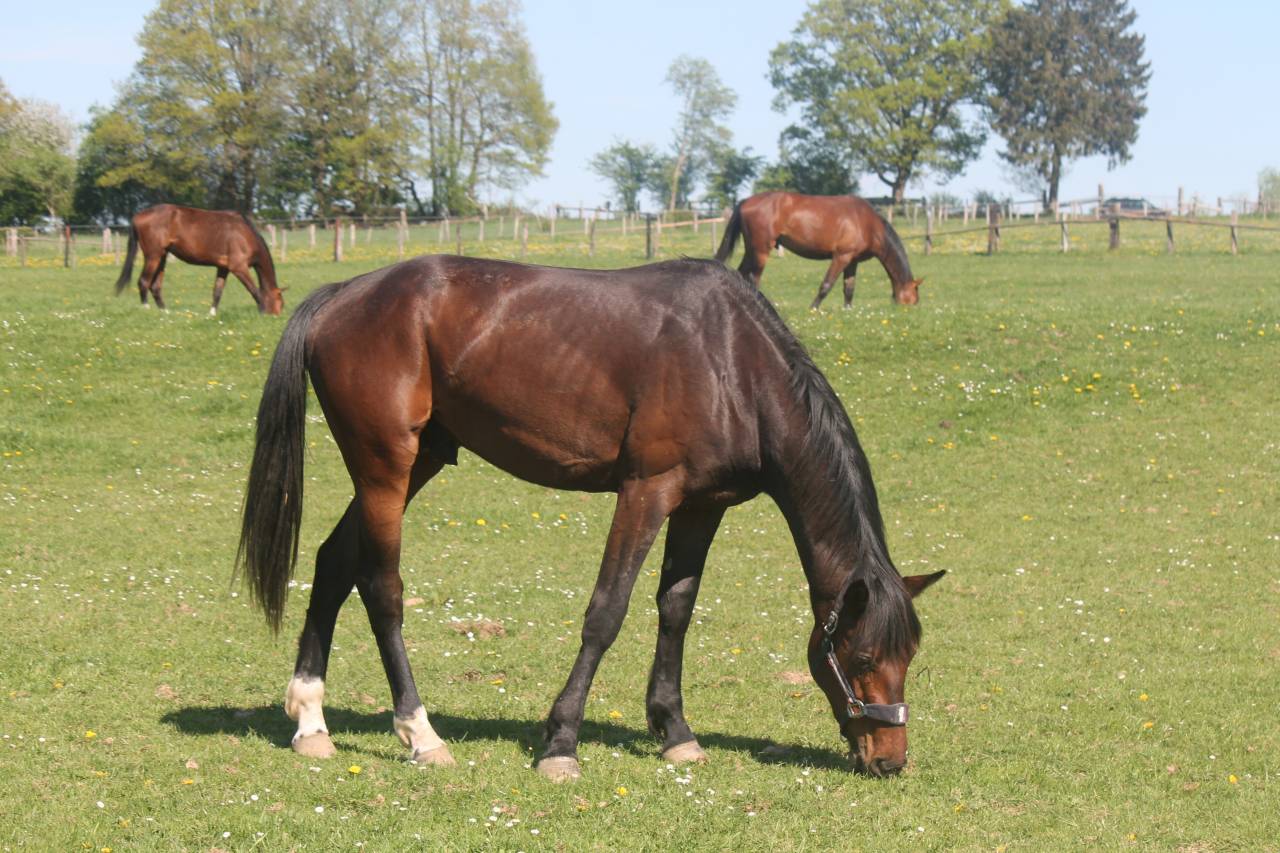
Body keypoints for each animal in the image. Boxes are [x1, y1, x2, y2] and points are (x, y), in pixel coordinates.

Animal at [113, 204, 284, 316]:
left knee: (155, 286)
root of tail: (138, 216)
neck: (244, 234)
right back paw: (146, 309)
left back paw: (165, 312)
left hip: (162, 257)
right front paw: (262, 311)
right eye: (281, 303)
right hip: (153, 256)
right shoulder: (239, 268)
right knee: (143, 282)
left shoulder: (223, 268)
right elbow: (254, 290)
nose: (276, 316)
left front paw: (212, 314)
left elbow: (217, 291)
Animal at [237, 255, 943, 780]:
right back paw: (421, 733)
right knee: (381, 588)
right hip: (386, 465)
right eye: (859, 657)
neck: (733, 364)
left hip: (419, 462)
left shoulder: (701, 506)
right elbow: (607, 612)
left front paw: (675, 731)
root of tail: (343, 294)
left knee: (333, 563)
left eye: (909, 657)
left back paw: (311, 721)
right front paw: (561, 742)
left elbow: (676, 609)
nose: (891, 760)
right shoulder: (646, 493)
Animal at [715, 191, 923, 308]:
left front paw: (848, 310)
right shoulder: (841, 257)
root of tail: (745, 201)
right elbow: (826, 285)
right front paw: (814, 307)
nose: (912, 308)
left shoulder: (852, 261)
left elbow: (849, 288)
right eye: (913, 300)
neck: (868, 224)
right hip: (760, 251)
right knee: (753, 279)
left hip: (751, 250)